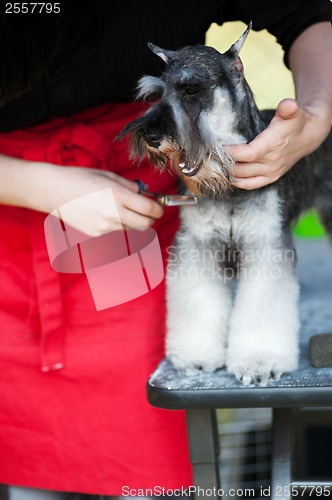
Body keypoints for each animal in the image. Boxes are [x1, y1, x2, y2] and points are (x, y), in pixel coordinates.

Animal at [120, 24, 332, 386]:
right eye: (159, 94)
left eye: (191, 89)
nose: (150, 135)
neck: (225, 184)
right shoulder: (198, 246)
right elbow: (198, 304)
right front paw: (196, 356)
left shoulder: (266, 246)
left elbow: (262, 307)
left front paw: (260, 361)